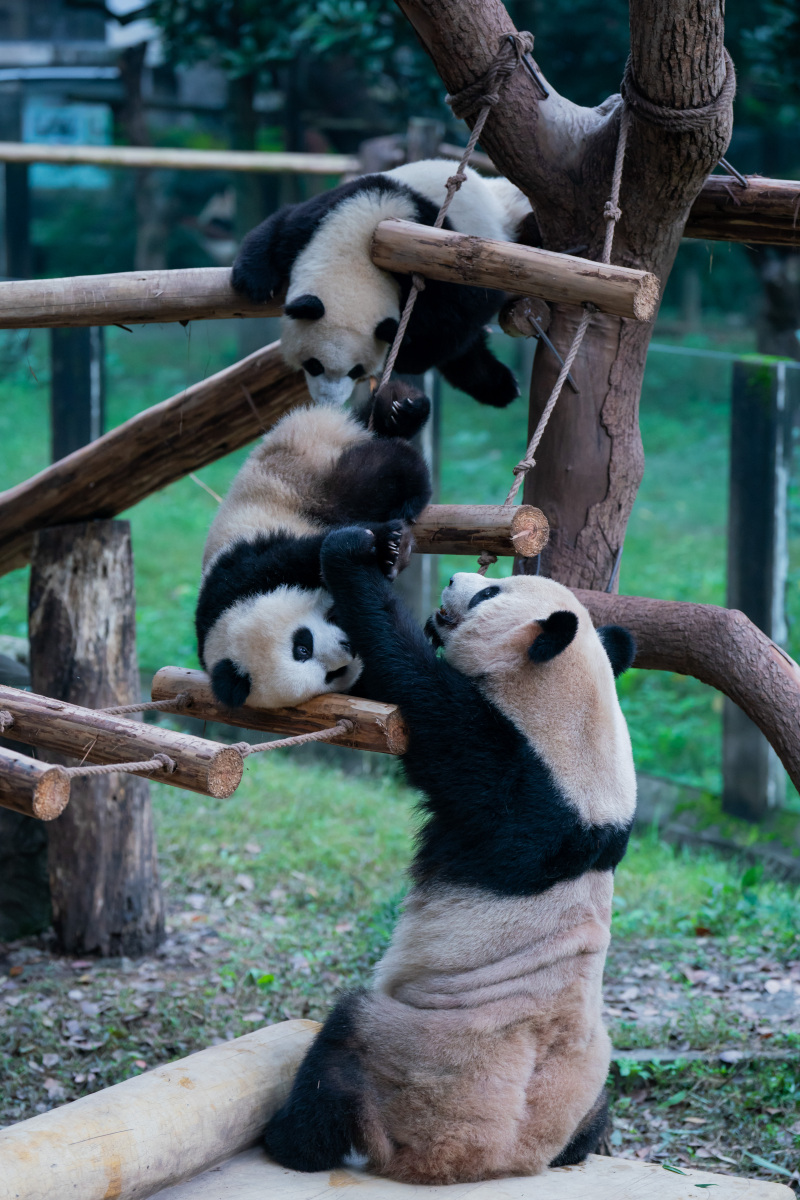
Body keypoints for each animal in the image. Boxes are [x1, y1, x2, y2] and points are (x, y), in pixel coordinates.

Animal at [194, 386, 431, 710]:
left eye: (301, 646)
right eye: (331, 675)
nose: (349, 646)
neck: (223, 614)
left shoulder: (239, 573)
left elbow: (302, 556)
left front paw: (387, 546)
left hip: (302, 467)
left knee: (372, 472)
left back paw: (404, 420)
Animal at [231, 159, 532, 408]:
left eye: (356, 371)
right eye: (313, 365)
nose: (329, 402)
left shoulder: (432, 248)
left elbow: (465, 308)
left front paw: (408, 353)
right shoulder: (325, 212)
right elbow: (280, 225)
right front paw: (255, 282)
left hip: (504, 223)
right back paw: (501, 387)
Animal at [262, 537, 638, 1190]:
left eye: (488, 593)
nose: (456, 580)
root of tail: (500, 1159)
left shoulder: (511, 779)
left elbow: (416, 689)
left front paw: (351, 559)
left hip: (421, 1061)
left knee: (344, 1048)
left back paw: (288, 1142)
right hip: (588, 1070)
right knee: (592, 1112)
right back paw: (579, 1146)